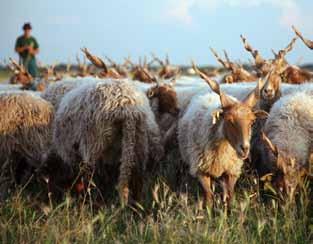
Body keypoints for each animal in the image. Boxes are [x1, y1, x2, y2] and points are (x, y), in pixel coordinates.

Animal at [178, 64, 266, 206]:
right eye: (229, 120)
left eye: (252, 121)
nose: (245, 148)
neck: (223, 146)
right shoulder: (201, 171)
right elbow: (209, 196)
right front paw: (208, 210)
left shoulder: (232, 171)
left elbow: (230, 195)